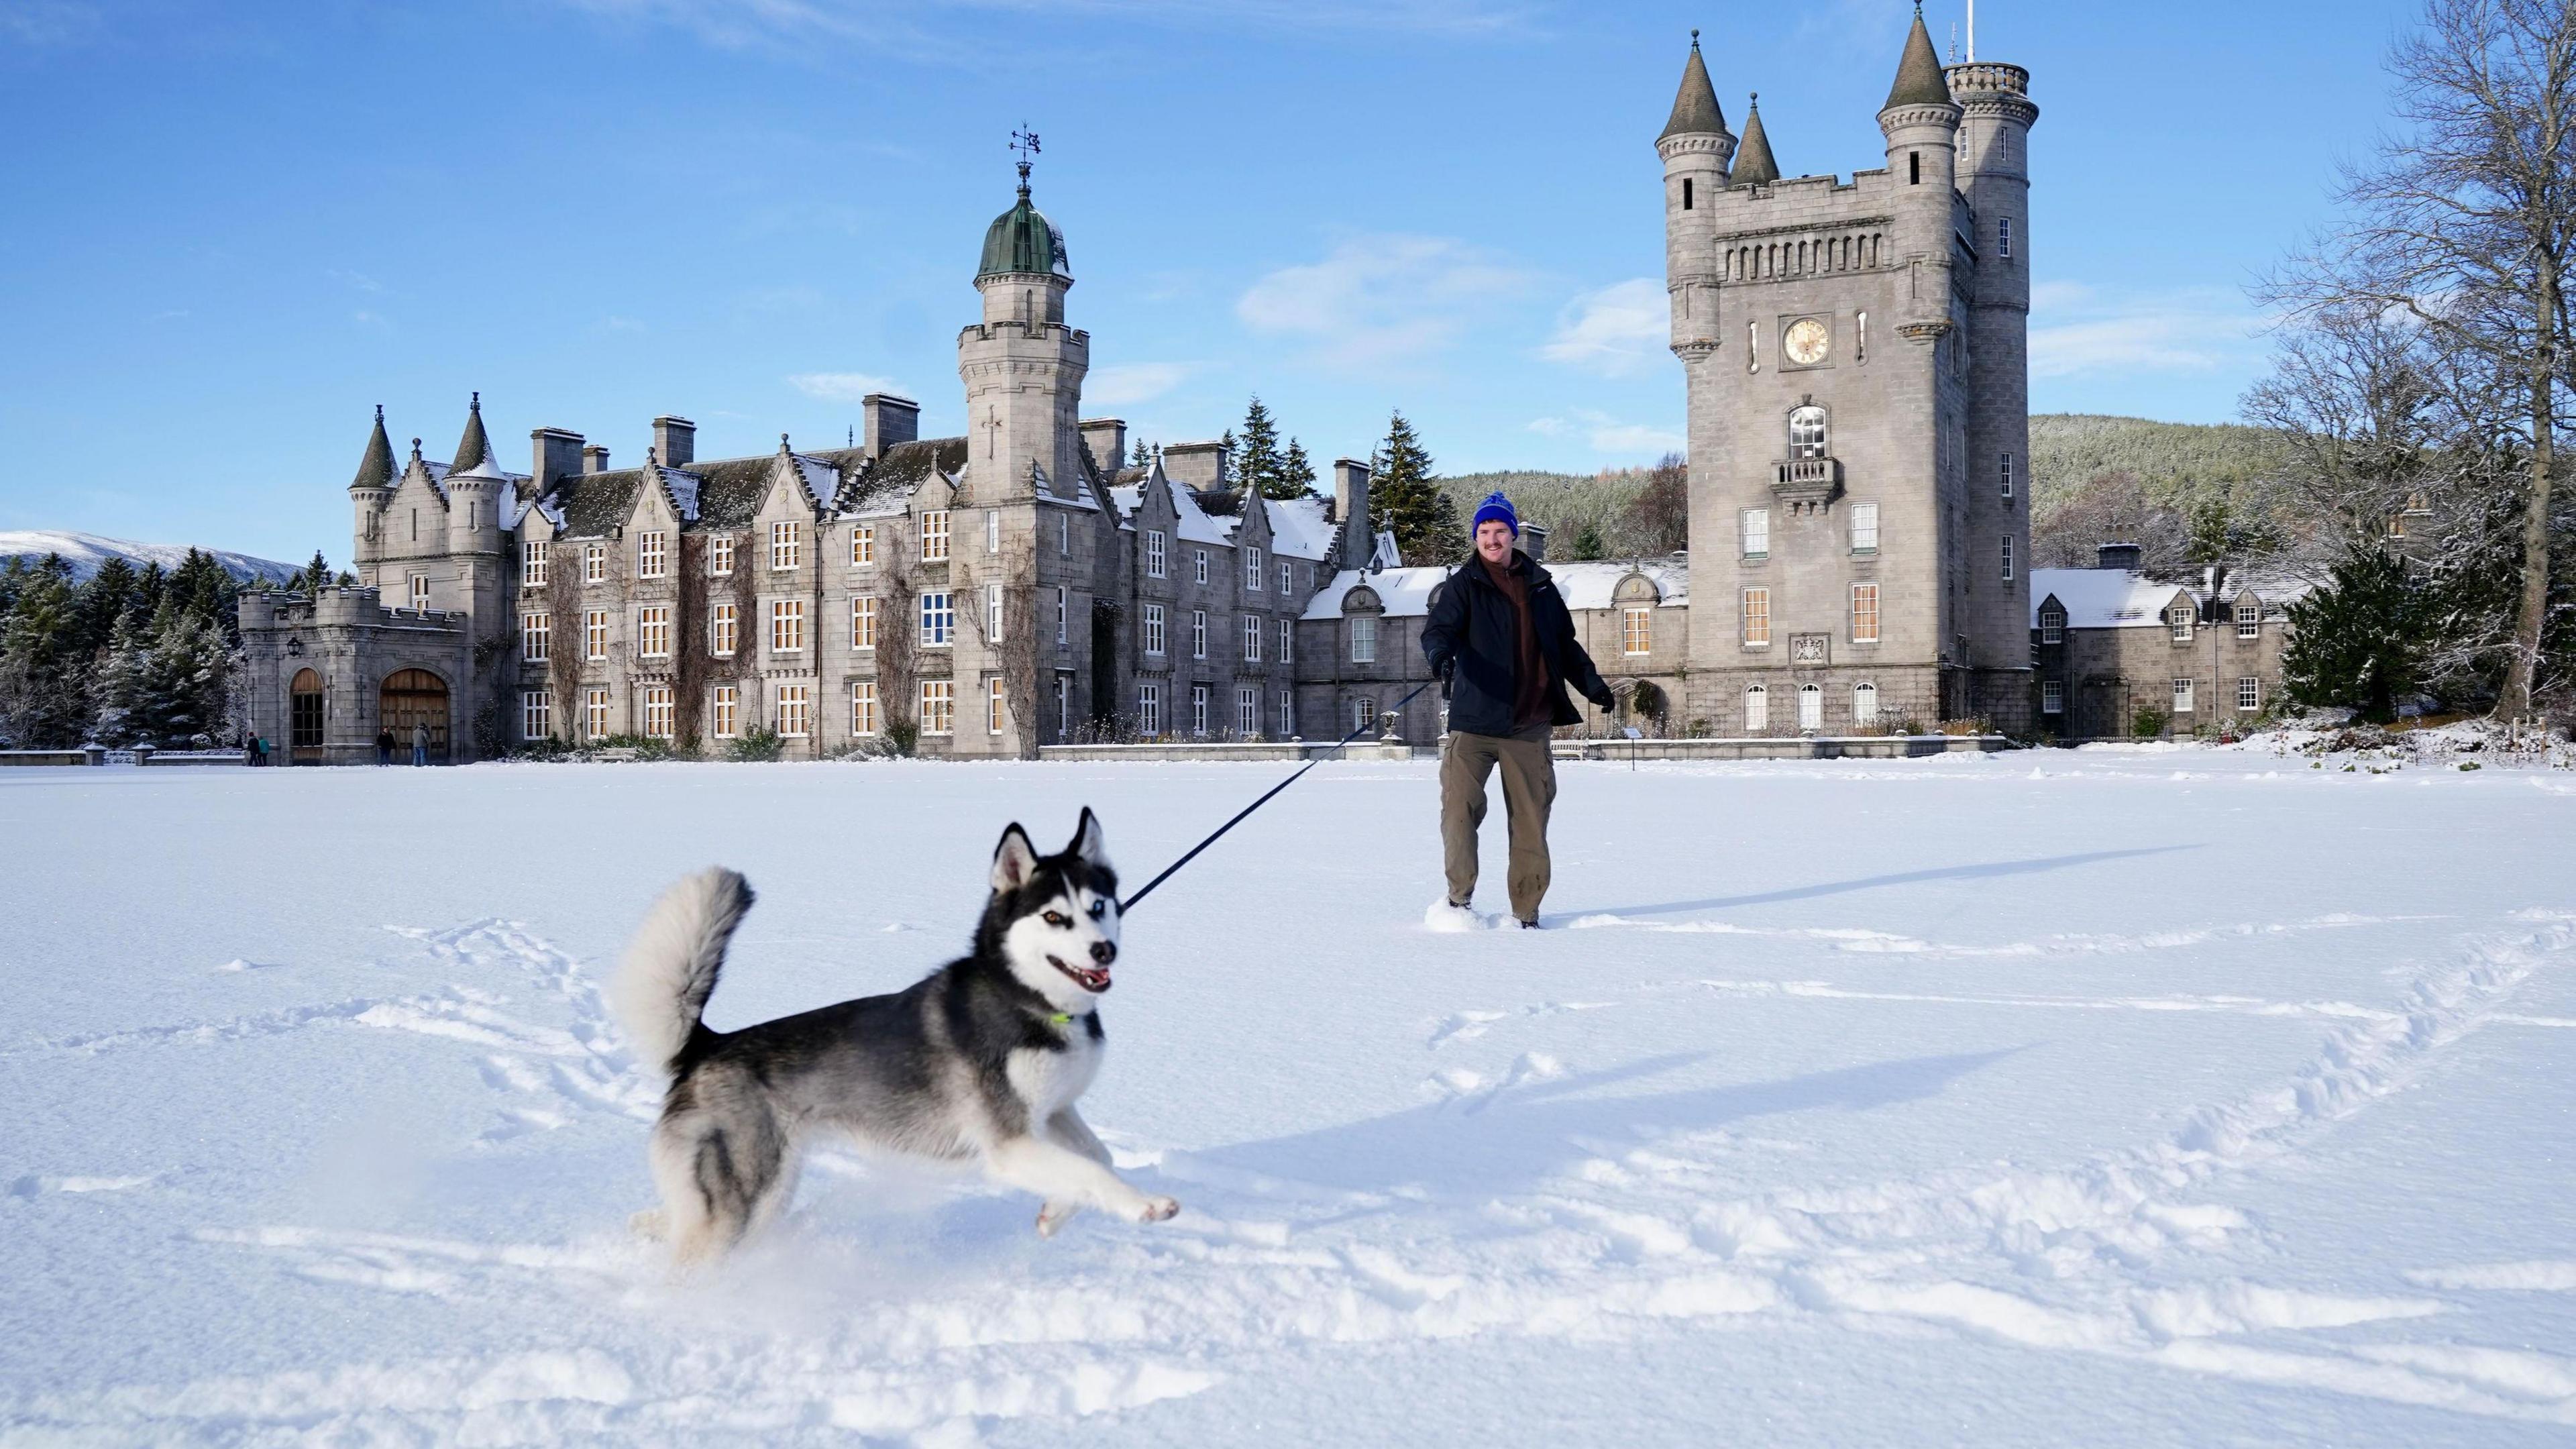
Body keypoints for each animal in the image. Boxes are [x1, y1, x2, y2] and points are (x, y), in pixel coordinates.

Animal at [618, 804, 1179, 1258]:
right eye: (1054, 917)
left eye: (1098, 907)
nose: (1103, 951)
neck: (1028, 999)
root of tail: (708, 1044)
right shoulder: (1009, 1143)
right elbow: (1091, 1171)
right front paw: (1145, 1205)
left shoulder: (1055, 1109)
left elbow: (1099, 1156)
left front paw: (1054, 1214)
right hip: (742, 1202)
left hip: (766, 1196)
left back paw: (647, 1226)